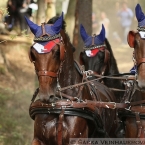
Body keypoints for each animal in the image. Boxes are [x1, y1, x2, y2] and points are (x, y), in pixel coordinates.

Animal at [25, 13, 118, 144]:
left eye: (57, 52)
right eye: (33, 54)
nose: (45, 95)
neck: (60, 106)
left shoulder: (77, 139)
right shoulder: (38, 139)